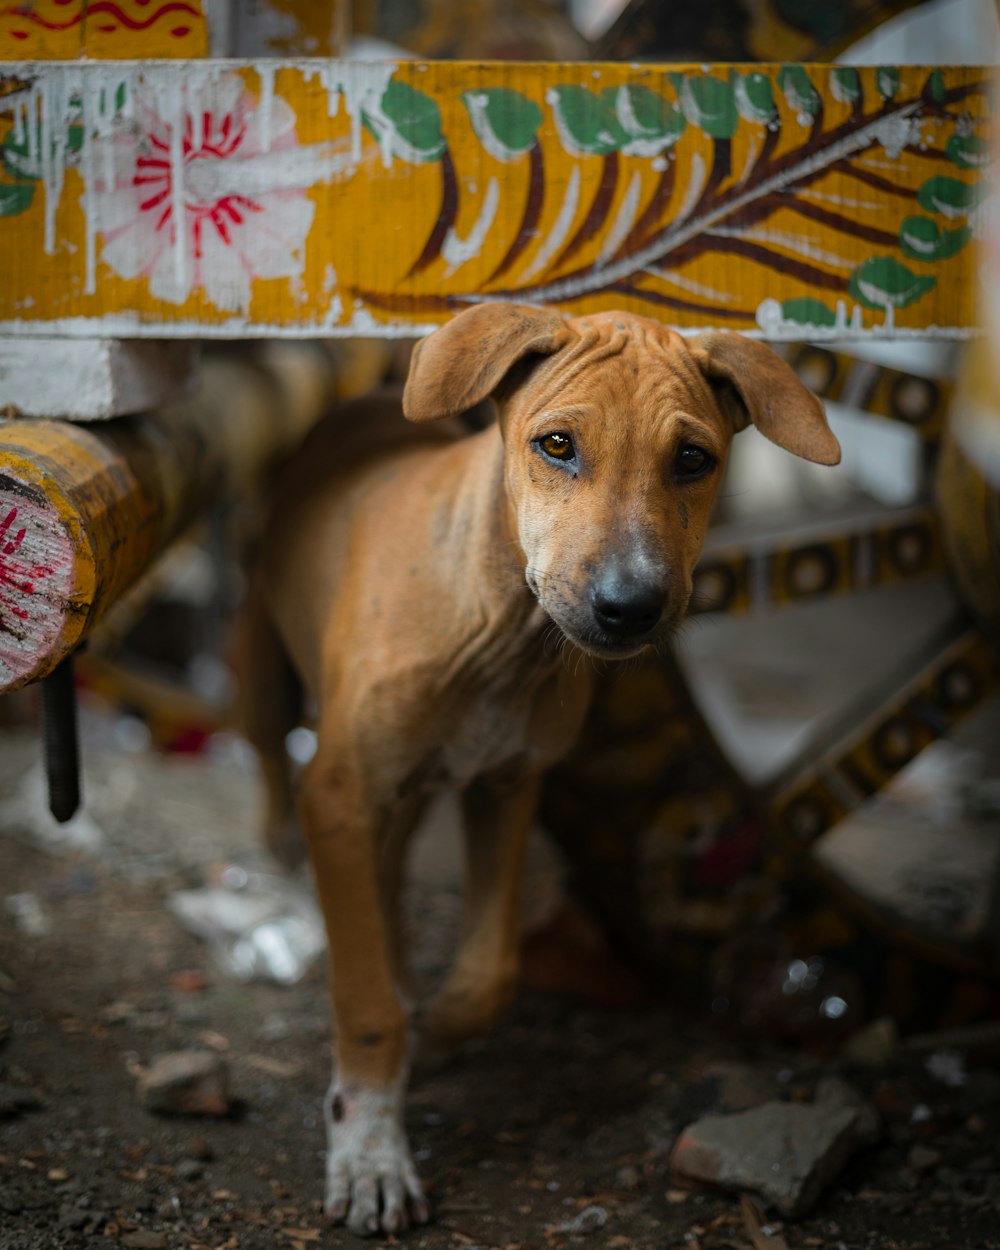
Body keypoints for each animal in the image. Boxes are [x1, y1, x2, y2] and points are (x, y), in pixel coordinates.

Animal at [238, 300, 840, 1230]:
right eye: (557, 445)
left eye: (693, 460)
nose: (630, 607)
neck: (499, 634)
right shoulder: (339, 792)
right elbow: (367, 1006)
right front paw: (370, 1151)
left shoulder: (507, 785)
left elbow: (492, 971)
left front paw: (435, 1027)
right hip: (269, 674)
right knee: (273, 761)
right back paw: (280, 855)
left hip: (410, 787)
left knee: (390, 872)